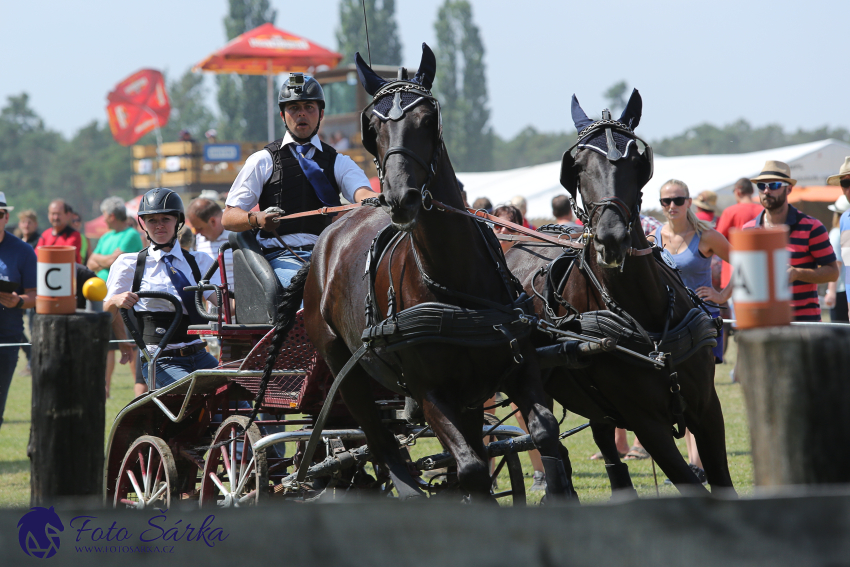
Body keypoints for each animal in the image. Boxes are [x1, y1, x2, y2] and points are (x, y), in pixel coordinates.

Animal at [272, 46, 572, 504]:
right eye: (373, 126)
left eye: (429, 119)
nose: (401, 199)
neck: (455, 283)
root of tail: (327, 237)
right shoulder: (429, 393)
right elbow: (470, 468)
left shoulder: (517, 371)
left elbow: (544, 432)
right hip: (344, 371)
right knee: (383, 445)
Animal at [504, 91, 736, 494]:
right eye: (578, 166)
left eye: (636, 161)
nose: (611, 238)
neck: (647, 316)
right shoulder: (646, 423)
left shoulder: (707, 407)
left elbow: (723, 483)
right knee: (549, 443)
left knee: (603, 441)